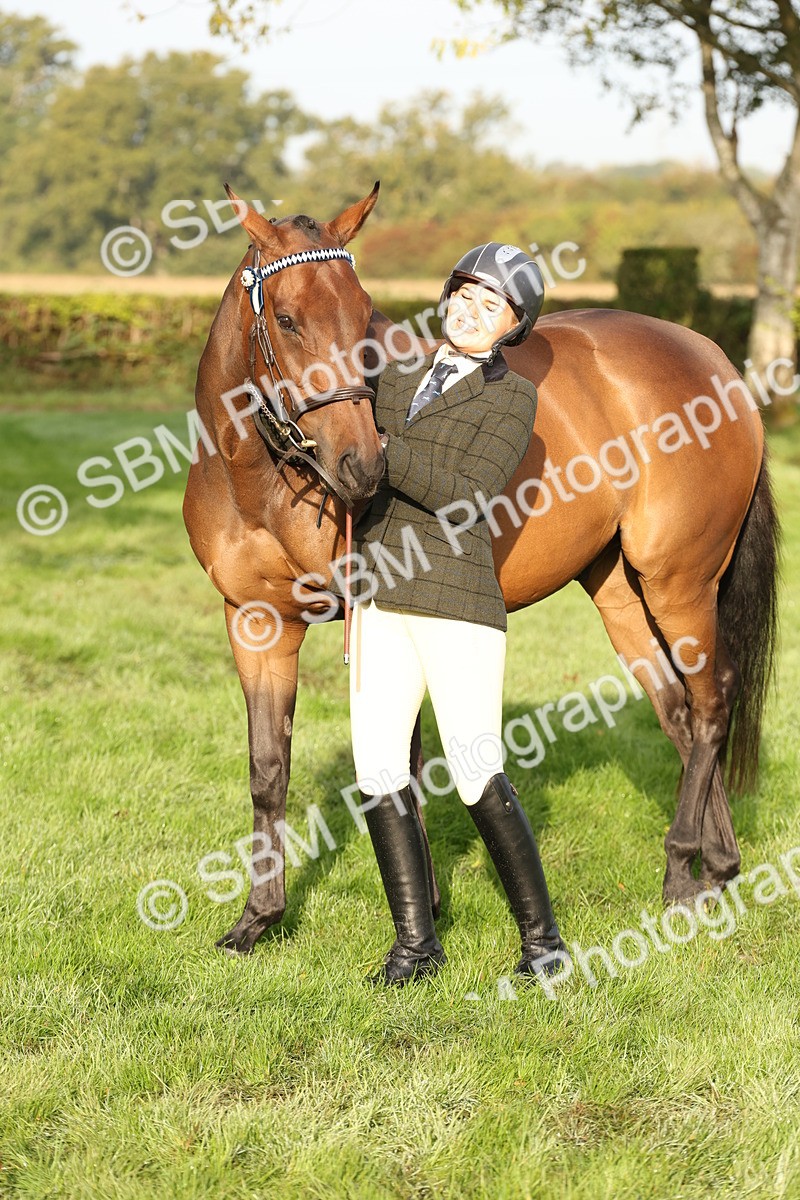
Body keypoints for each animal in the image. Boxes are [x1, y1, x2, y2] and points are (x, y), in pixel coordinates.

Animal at [183, 183, 779, 954]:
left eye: (363, 314)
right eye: (286, 319)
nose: (361, 463)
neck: (258, 481)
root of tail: (713, 360)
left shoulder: (381, 615)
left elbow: (401, 762)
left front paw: (422, 916)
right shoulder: (256, 624)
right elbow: (269, 770)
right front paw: (257, 919)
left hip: (679, 582)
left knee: (711, 703)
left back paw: (682, 870)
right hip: (619, 590)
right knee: (678, 710)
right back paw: (718, 866)